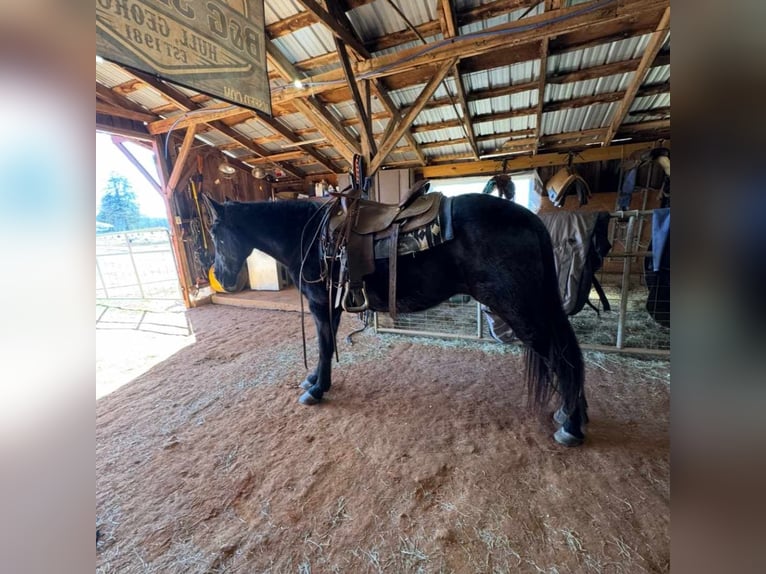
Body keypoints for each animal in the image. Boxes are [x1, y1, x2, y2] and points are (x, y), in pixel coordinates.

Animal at [202, 191, 588, 448]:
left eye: (217, 234)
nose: (222, 277)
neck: (309, 237)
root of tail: (531, 220)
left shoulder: (321, 305)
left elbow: (324, 346)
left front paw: (316, 389)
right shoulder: (332, 307)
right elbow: (326, 346)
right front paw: (314, 380)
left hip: (521, 309)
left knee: (561, 355)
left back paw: (571, 424)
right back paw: (573, 415)